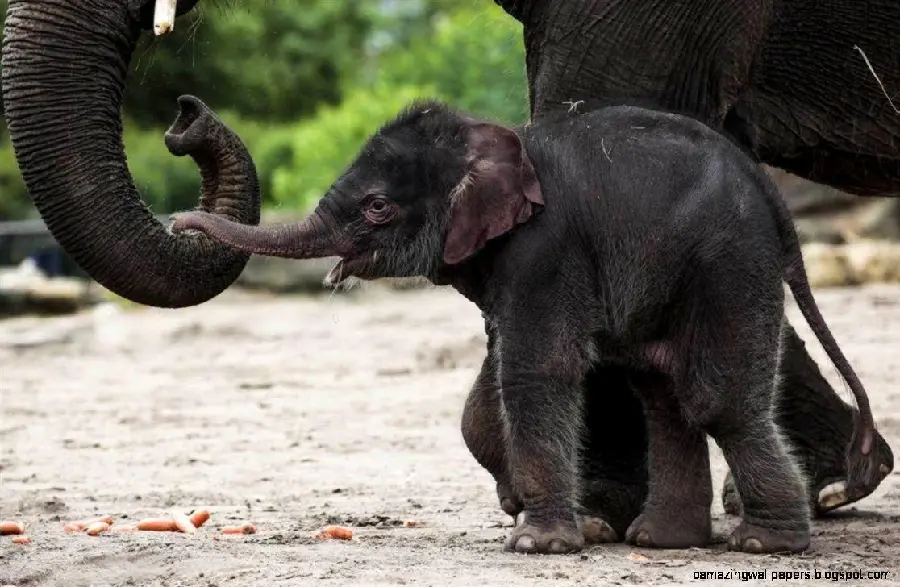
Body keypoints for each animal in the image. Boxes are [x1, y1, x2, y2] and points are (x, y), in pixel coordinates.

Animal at [171, 100, 880, 556]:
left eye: (377, 206)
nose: (179, 222)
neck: (493, 141)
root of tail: (774, 199)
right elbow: (497, 377)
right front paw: (533, 512)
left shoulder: (545, 248)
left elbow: (538, 368)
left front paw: (537, 544)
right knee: (662, 392)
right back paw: (662, 541)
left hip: (728, 264)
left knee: (714, 399)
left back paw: (766, 545)